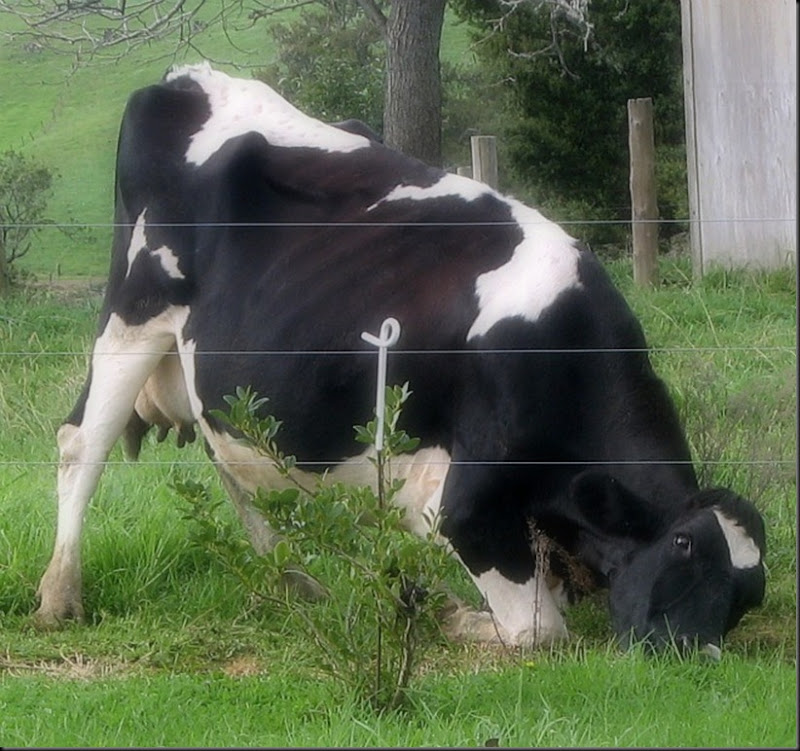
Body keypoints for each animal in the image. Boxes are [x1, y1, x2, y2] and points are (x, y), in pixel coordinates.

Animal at [32, 61, 768, 656]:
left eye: (746, 593)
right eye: (680, 549)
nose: (696, 655)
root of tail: (190, 78)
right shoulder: (469, 508)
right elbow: (539, 631)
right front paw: (446, 611)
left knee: (230, 460)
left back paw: (295, 585)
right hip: (135, 309)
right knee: (81, 443)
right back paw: (60, 596)